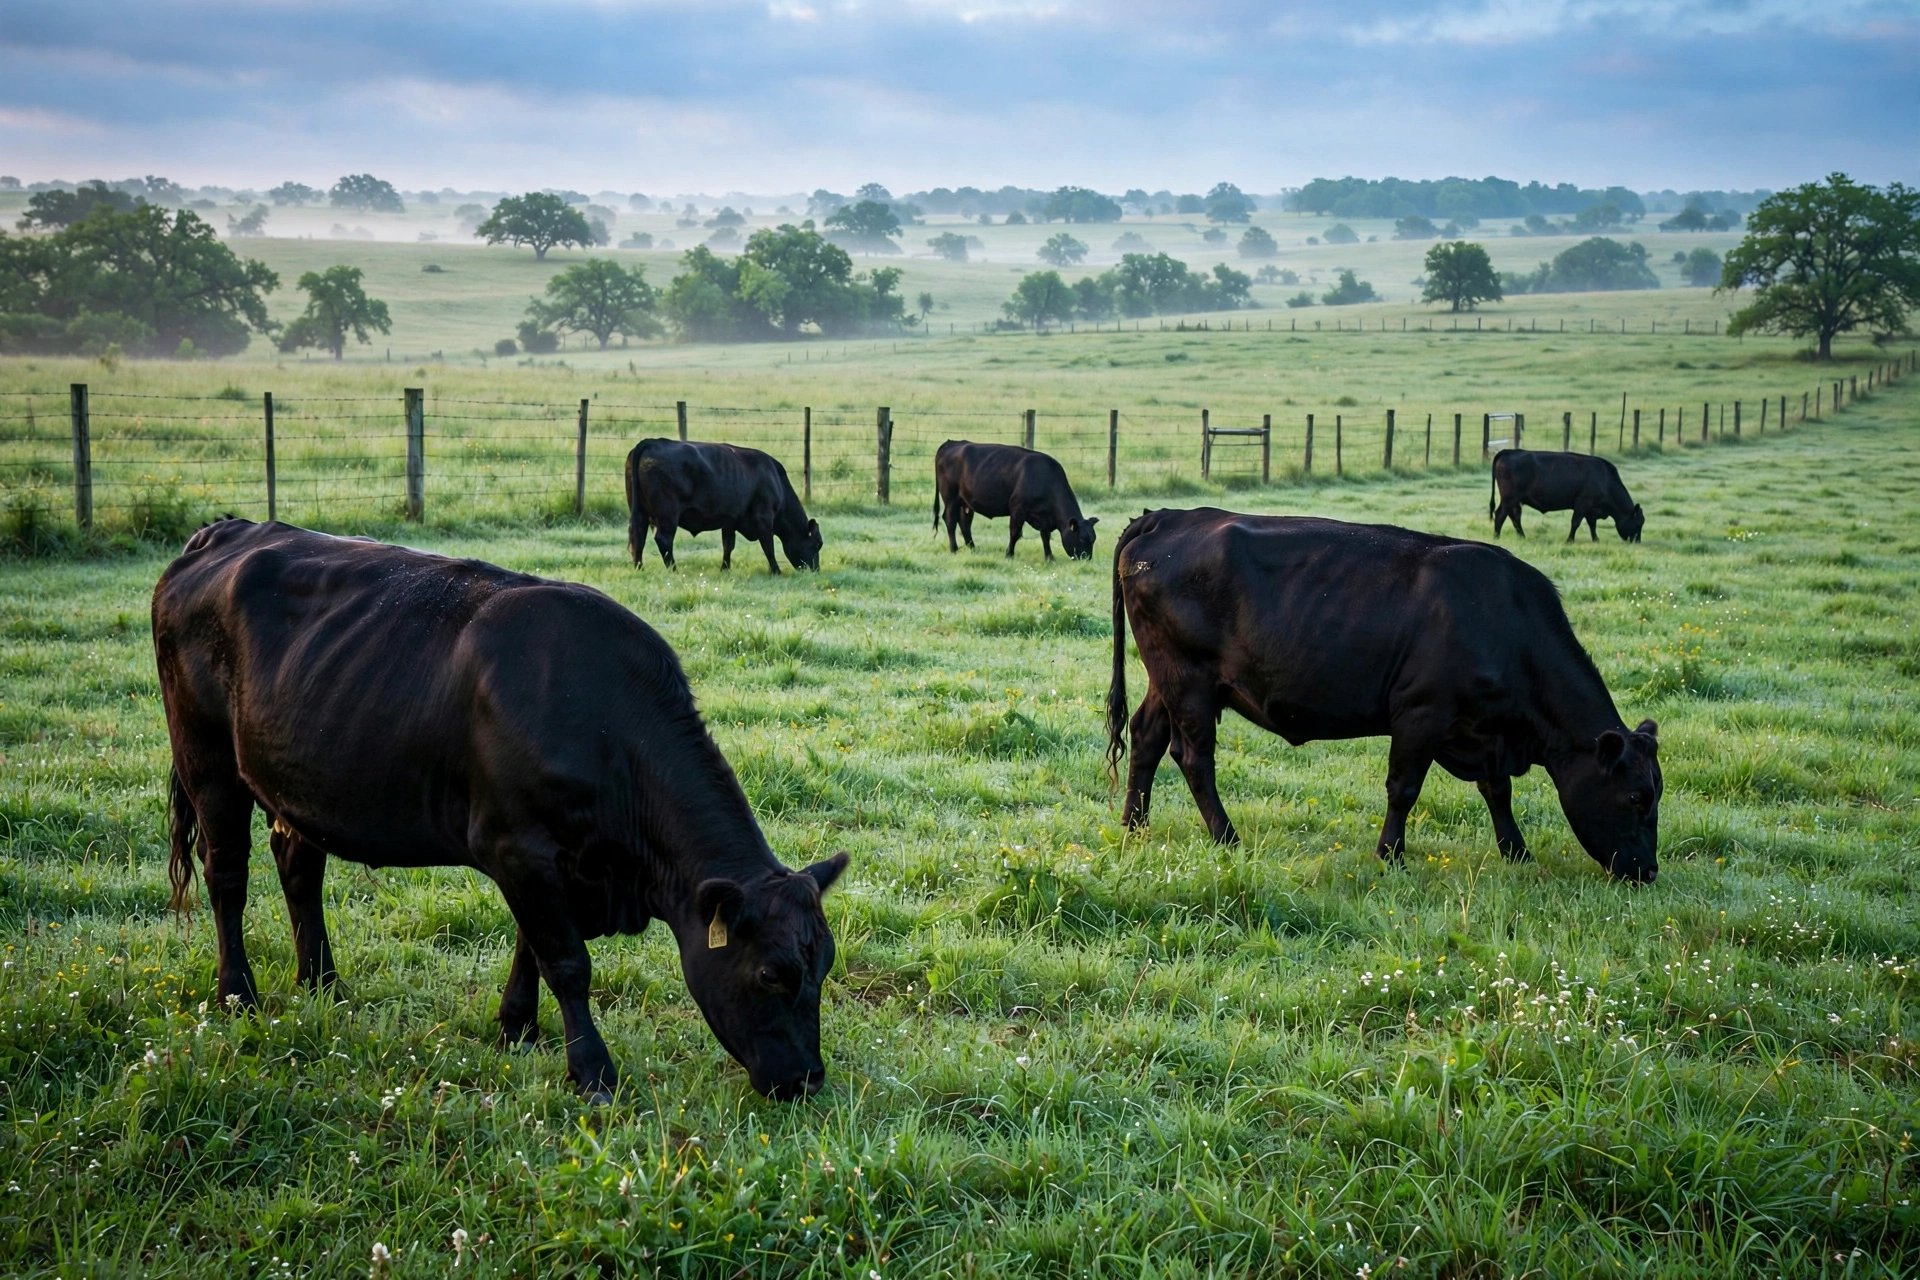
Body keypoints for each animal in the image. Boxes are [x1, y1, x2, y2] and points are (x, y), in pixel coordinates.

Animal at [152, 519, 850, 1102]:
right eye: (771, 975)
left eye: (823, 967)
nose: (808, 1080)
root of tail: (225, 532)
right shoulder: (517, 846)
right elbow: (566, 961)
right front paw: (592, 1072)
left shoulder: (549, 862)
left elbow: (530, 948)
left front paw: (517, 1027)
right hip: (207, 760)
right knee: (226, 876)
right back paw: (238, 995)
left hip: (298, 777)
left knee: (299, 867)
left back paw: (324, 984)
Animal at [625, 438, 822, 573]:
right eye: (817, 544)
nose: (815, 570)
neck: (775, 480)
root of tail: (653, 442)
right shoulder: (764, 518)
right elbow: (768, 546)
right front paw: (776, 571)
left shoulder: (730, 520)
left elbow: (728, 545)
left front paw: (725, 568)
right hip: (668, 514)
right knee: (663, 539)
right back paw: (674, 569)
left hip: (640, 512)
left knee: (638, 536)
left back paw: (639, 567)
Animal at [933, 440, 1098, 561]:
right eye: (1082, 539)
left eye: (1093, 540)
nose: (1087, 560)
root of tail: (951, 443)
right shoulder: (1018, 509)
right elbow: (1015, 533)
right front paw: (1009, 554)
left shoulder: (1044, 518)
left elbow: (1045, 537)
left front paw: (1049, 558)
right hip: (950, 498)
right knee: (950, 520)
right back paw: (954, 549)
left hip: (965, 502)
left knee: (965, 523)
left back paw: (973, 548)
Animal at [1105, 508, 1661, 882]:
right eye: (1636, 796)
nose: (1649, 871)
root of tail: (1166, 518)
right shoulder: (1422, 713)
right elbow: (1404, 789)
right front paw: (1390, 855)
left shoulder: (1485, 731)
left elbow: (1497, 790)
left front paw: (1517, 853)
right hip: (1188, 679)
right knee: (1193, 756)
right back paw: (1226, 836)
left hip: (1166, 679)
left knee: (1147, 738)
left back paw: (1135, 826)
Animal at [1490, 449, 1645, 542]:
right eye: (1638, 524)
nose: (1637, 542)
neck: (1605, 479)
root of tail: (1509, 451)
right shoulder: (1583, 504)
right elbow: (1576, 522)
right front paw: (1569, 540)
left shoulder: (1590, 509)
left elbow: (1592, 524)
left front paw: (1596, 539)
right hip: (1509, 499)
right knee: (1500, 515)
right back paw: (1496, 537)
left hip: (1515, 501)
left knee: (1514, 517)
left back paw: (1522, 537)